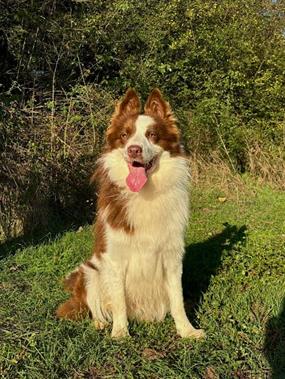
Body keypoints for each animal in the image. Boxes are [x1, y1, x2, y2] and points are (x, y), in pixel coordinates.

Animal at [56, 90, 204, 342]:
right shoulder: (116, 259)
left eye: (152, 135)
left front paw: (187, 330)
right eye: (125, 135)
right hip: (90, 272)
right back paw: (100, 323)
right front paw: (120, 333)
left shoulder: (172, 257)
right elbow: (119, 302)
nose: (133, 149)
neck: (145, 193)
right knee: (92, 305)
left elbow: (177, 300)